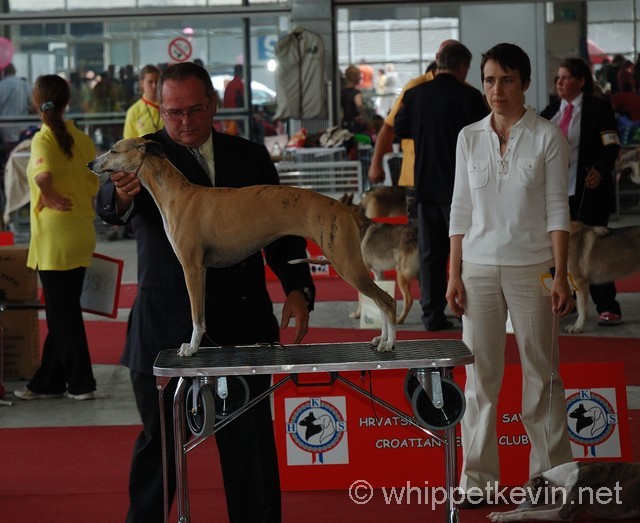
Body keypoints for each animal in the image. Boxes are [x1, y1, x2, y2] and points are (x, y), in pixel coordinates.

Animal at [88, 137, 398, 356]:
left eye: (114, 150)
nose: (90, 164)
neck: (176, 194)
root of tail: (344, 210)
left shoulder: (193, 268)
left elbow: (197, 317)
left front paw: (191, 347)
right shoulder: (197, 269)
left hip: (346, 262)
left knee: (387, 300)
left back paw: (388, 343)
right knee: (379, 300)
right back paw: (380, 339)